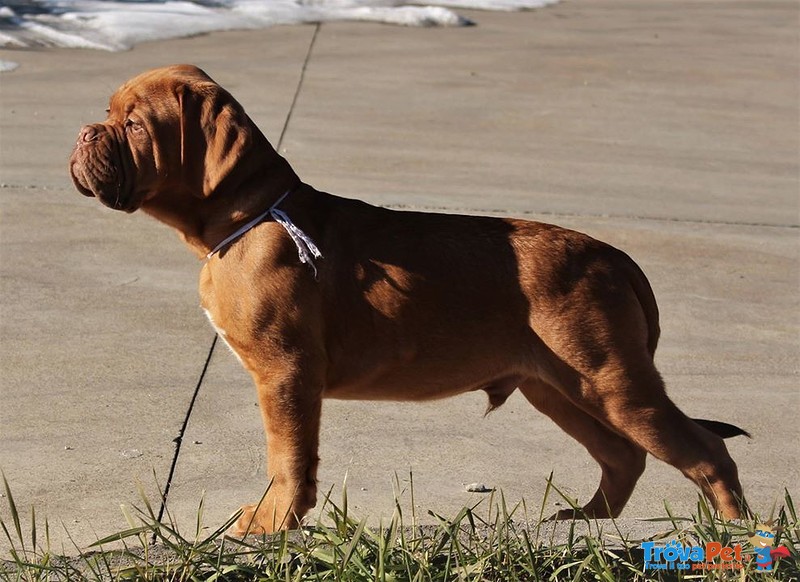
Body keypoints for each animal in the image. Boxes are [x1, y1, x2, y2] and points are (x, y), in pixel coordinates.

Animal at [70, 65, 752, 540]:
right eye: (107, 114)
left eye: (134, 124)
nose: (82, 133)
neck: (253, 215)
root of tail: (615, 257)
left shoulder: (286, 374)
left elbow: (287, 457)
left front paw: (271, 525)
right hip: (559, 387)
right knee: (623, 455)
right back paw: (583, 521)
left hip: (611, 381)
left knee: (704, 451)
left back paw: (736, 534)